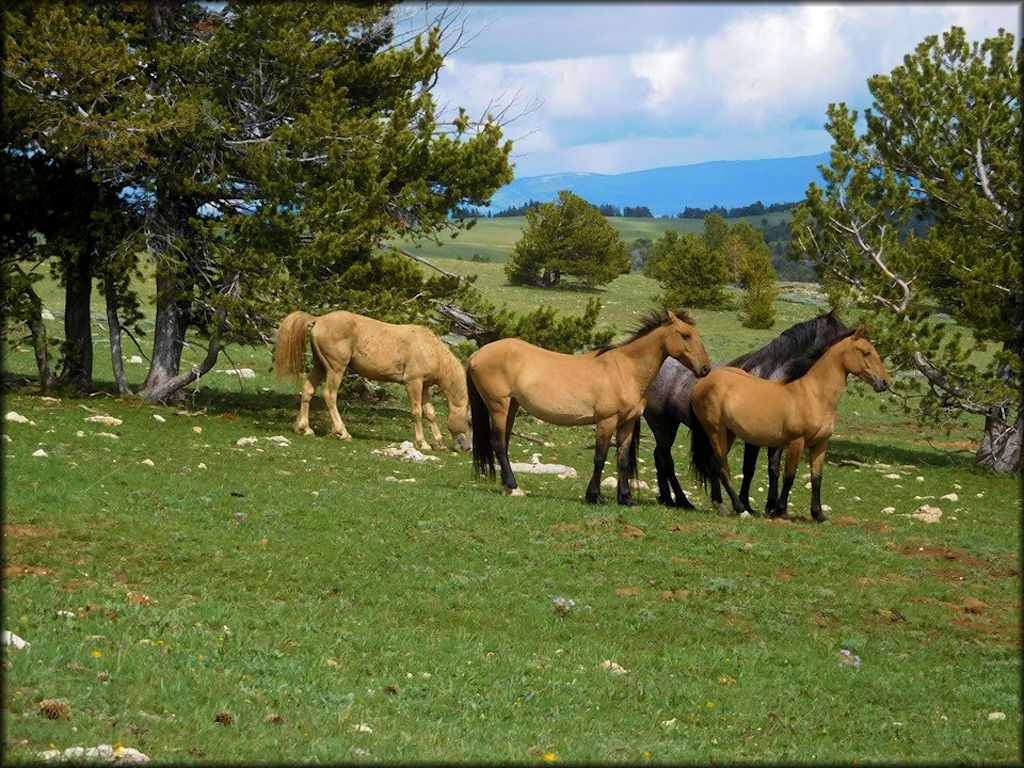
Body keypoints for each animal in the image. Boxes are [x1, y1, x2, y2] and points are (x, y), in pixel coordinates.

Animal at [274, 309, 468, 450]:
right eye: (469, 421)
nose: (466, 448)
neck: (429, 348)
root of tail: (318, 319)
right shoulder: (413, 383)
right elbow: (417, 412)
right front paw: (422, 443)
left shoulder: (424, 386)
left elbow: (430, 413)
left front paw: (439, 443)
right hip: (335, 369)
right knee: (329, 395)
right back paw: (342, 432)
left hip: (320, 366)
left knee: (308, 390)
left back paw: (304, 428)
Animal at [466, 309, 712, 507]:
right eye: (686, 335)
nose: (706, 368)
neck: (625, 370)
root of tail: (478, 354)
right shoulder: (607, 421)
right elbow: (600, 458)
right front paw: (595, 496)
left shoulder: (627, 423)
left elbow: (622, 460)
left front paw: (626, 498)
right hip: (499, 406)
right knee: (498, 444)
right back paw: (513, 486)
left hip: (511, 407)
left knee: (504, 444)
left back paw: (508, 487)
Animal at [643, 307, 851, 512]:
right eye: (841, 335)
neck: (775, 378)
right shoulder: (753, 439)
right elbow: (749, 469)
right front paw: (745, 503)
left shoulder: (779, 439)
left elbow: (773, 469)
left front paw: (771, 506)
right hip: (662, 424)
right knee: (665, 458)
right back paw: (680, 500)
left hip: (671, 425)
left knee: (660, 456)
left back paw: (668, 499)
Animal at [692, 329, 892, 524]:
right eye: (865, 352)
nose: (884, 383)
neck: (814, 396)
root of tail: (705, 382)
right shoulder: (797, 442)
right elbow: (789, 476)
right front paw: (782, 512)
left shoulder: (820, 445)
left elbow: (816, 478)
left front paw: (819, 515)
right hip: (716, 431)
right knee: (722, 467)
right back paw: (740, 508)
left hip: (729, 433)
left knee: (714, 464)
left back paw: (721, 505)